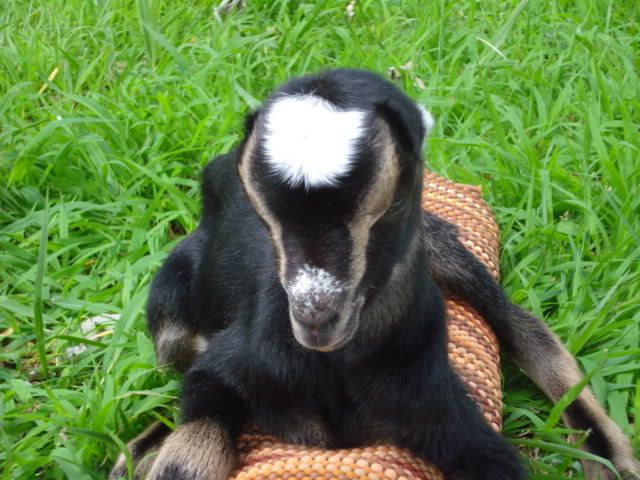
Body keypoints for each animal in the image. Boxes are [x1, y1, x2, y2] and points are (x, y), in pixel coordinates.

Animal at [110, 69, 639, 480]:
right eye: (266, 216)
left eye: (389, 206)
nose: (316, 318)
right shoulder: (221, 372)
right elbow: (193, 444)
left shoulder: (447, 415)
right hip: (170, 316)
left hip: (448, 258)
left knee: (522, 324)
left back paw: (609, 455)